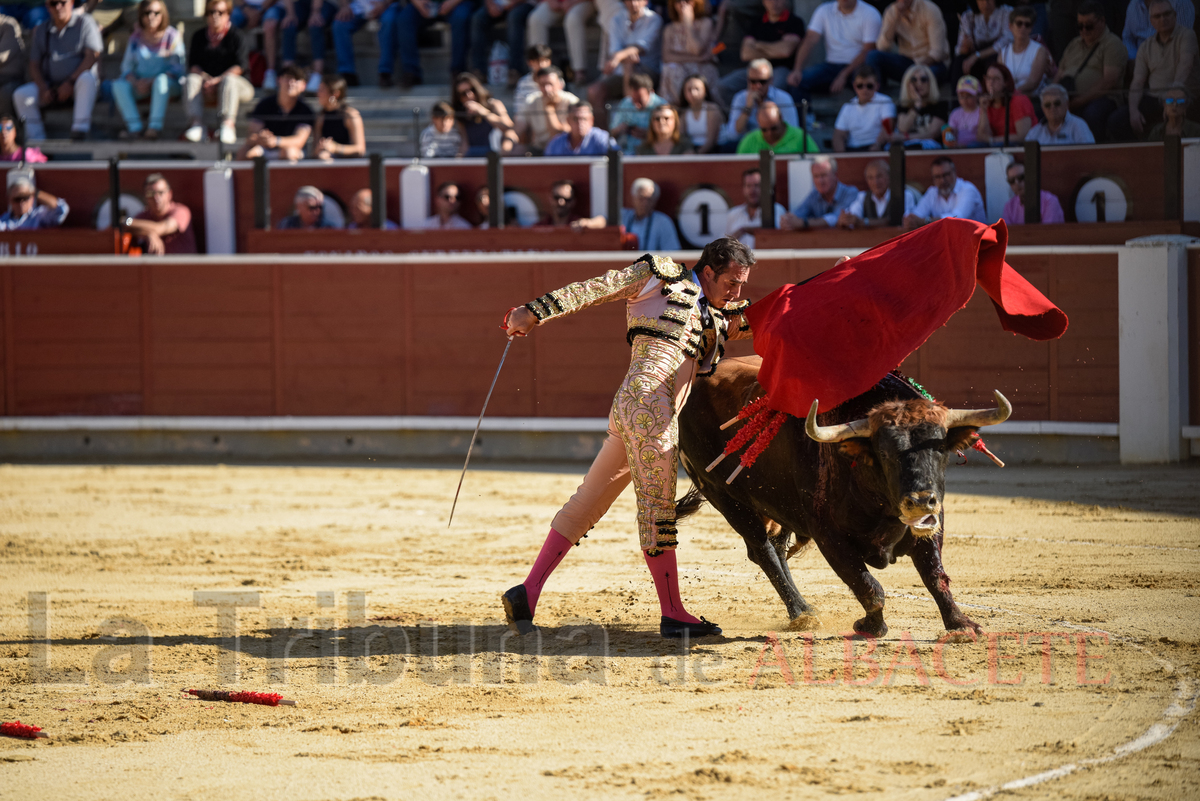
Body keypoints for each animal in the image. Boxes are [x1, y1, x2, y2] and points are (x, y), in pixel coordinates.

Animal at [681, 357, 1008, 637]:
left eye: (940, 448)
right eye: (884, 453)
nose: (920, 501)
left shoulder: (931, 524)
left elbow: (935, 576)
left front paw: (961, 625)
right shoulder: (829, 536)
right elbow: (869, 587)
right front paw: (870, 626)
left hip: (780, 506)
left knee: (775, 547)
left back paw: (803, 610)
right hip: (724, 497)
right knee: (762, 550)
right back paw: (801, 613)